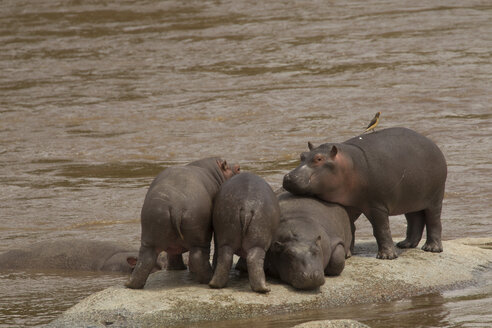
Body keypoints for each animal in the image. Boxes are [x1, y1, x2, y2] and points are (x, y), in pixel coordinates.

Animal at [126, 156, 239, 288]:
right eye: (238, 169)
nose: (238, 167)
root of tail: (176, 206)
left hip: (150, 233)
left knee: (146, 259)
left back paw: (131, 284)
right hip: (199, 236)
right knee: (198, 256)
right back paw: (208, 278)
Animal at [282, 127, 448, 260]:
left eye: (318, 158)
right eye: (302, 155)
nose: (288, 177)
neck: (348, 164)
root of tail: (432, 143)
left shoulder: (377, 206)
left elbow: (381, 229)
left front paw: (387, 257)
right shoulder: (349, 206)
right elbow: (349, 228)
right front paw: (348, 254)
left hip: (435, 197)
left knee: (433, 220)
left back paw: (431, 249)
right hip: (410, 199)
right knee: (414, 219)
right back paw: (405, 244)